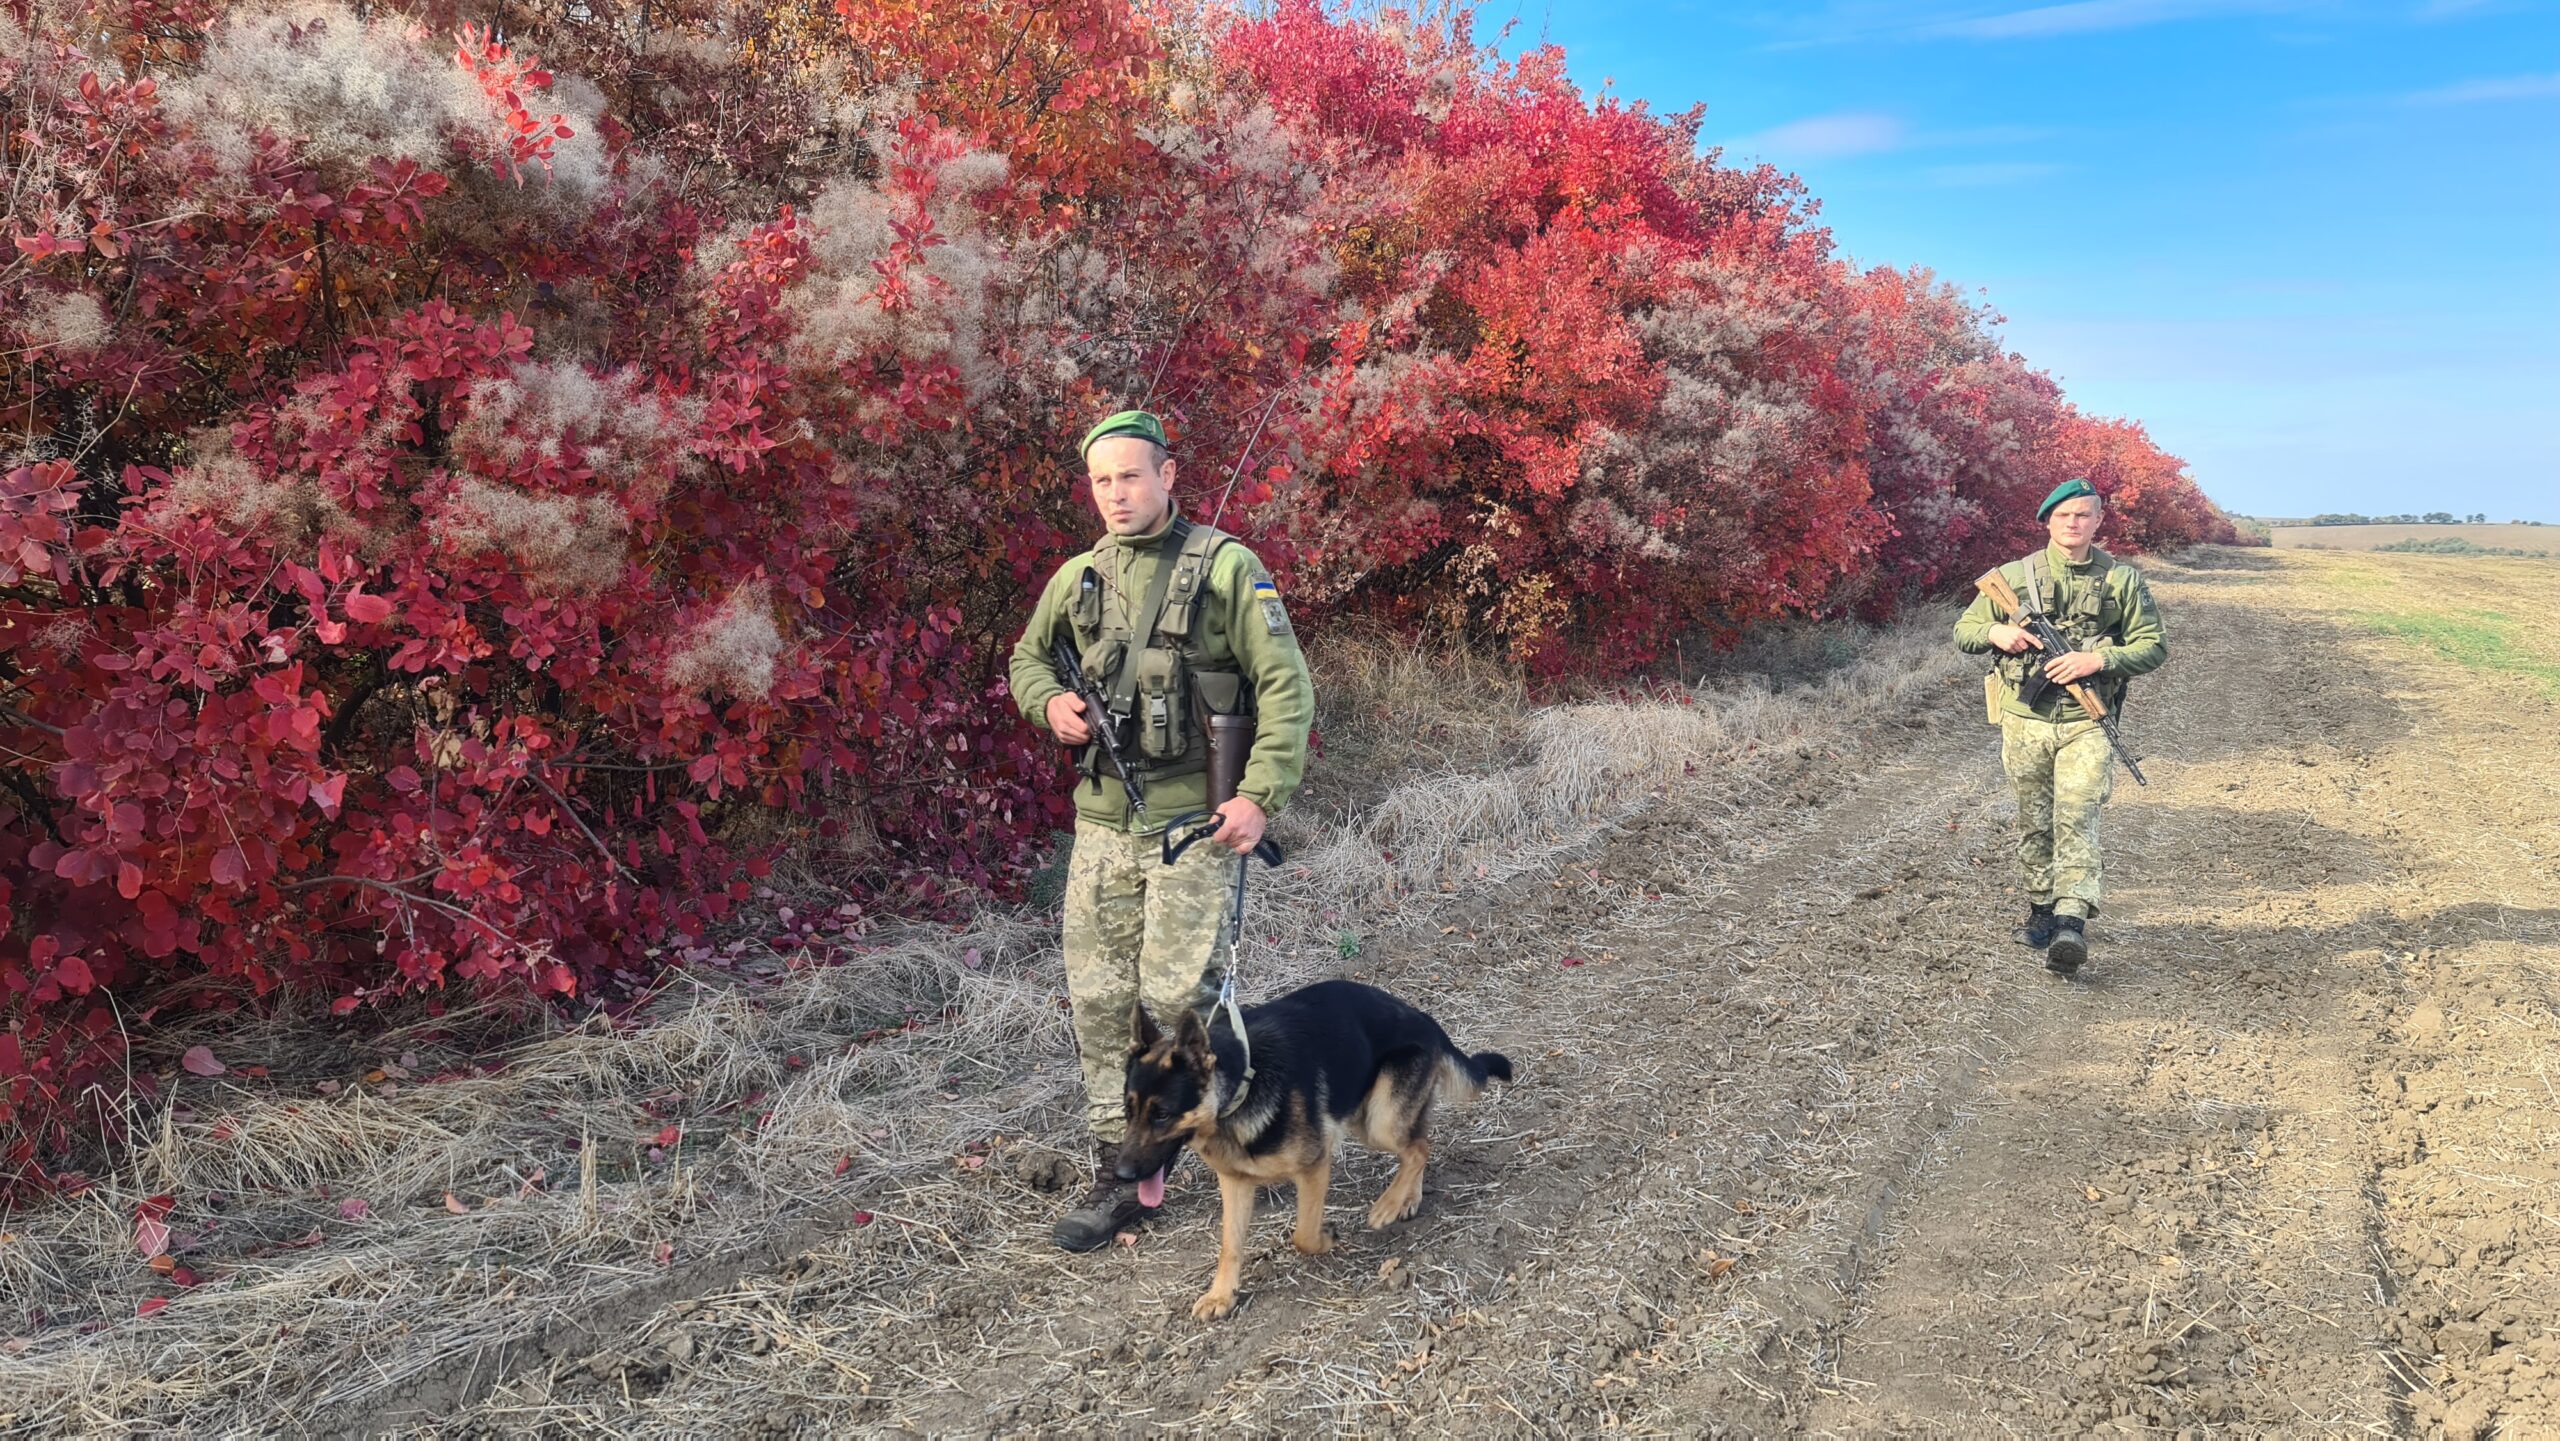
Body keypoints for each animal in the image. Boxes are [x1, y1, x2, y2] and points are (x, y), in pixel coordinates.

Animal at [1116, 982, 1505, 1320]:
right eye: (1127, 1111)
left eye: (1162, 1115)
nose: (1122, 1174)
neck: (1243, 1084)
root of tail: (1422, 1017)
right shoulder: (1235, 1182)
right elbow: (1230, 1245)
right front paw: (1221, 1295)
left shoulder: (1314, 1166)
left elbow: (1302, 1234)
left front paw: (1325, 1238)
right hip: (1369, 1115)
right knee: (1419, 1141)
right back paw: (1408, 1200)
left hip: (1379, 1121)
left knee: (1419, 1148)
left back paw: (1389, 1204)